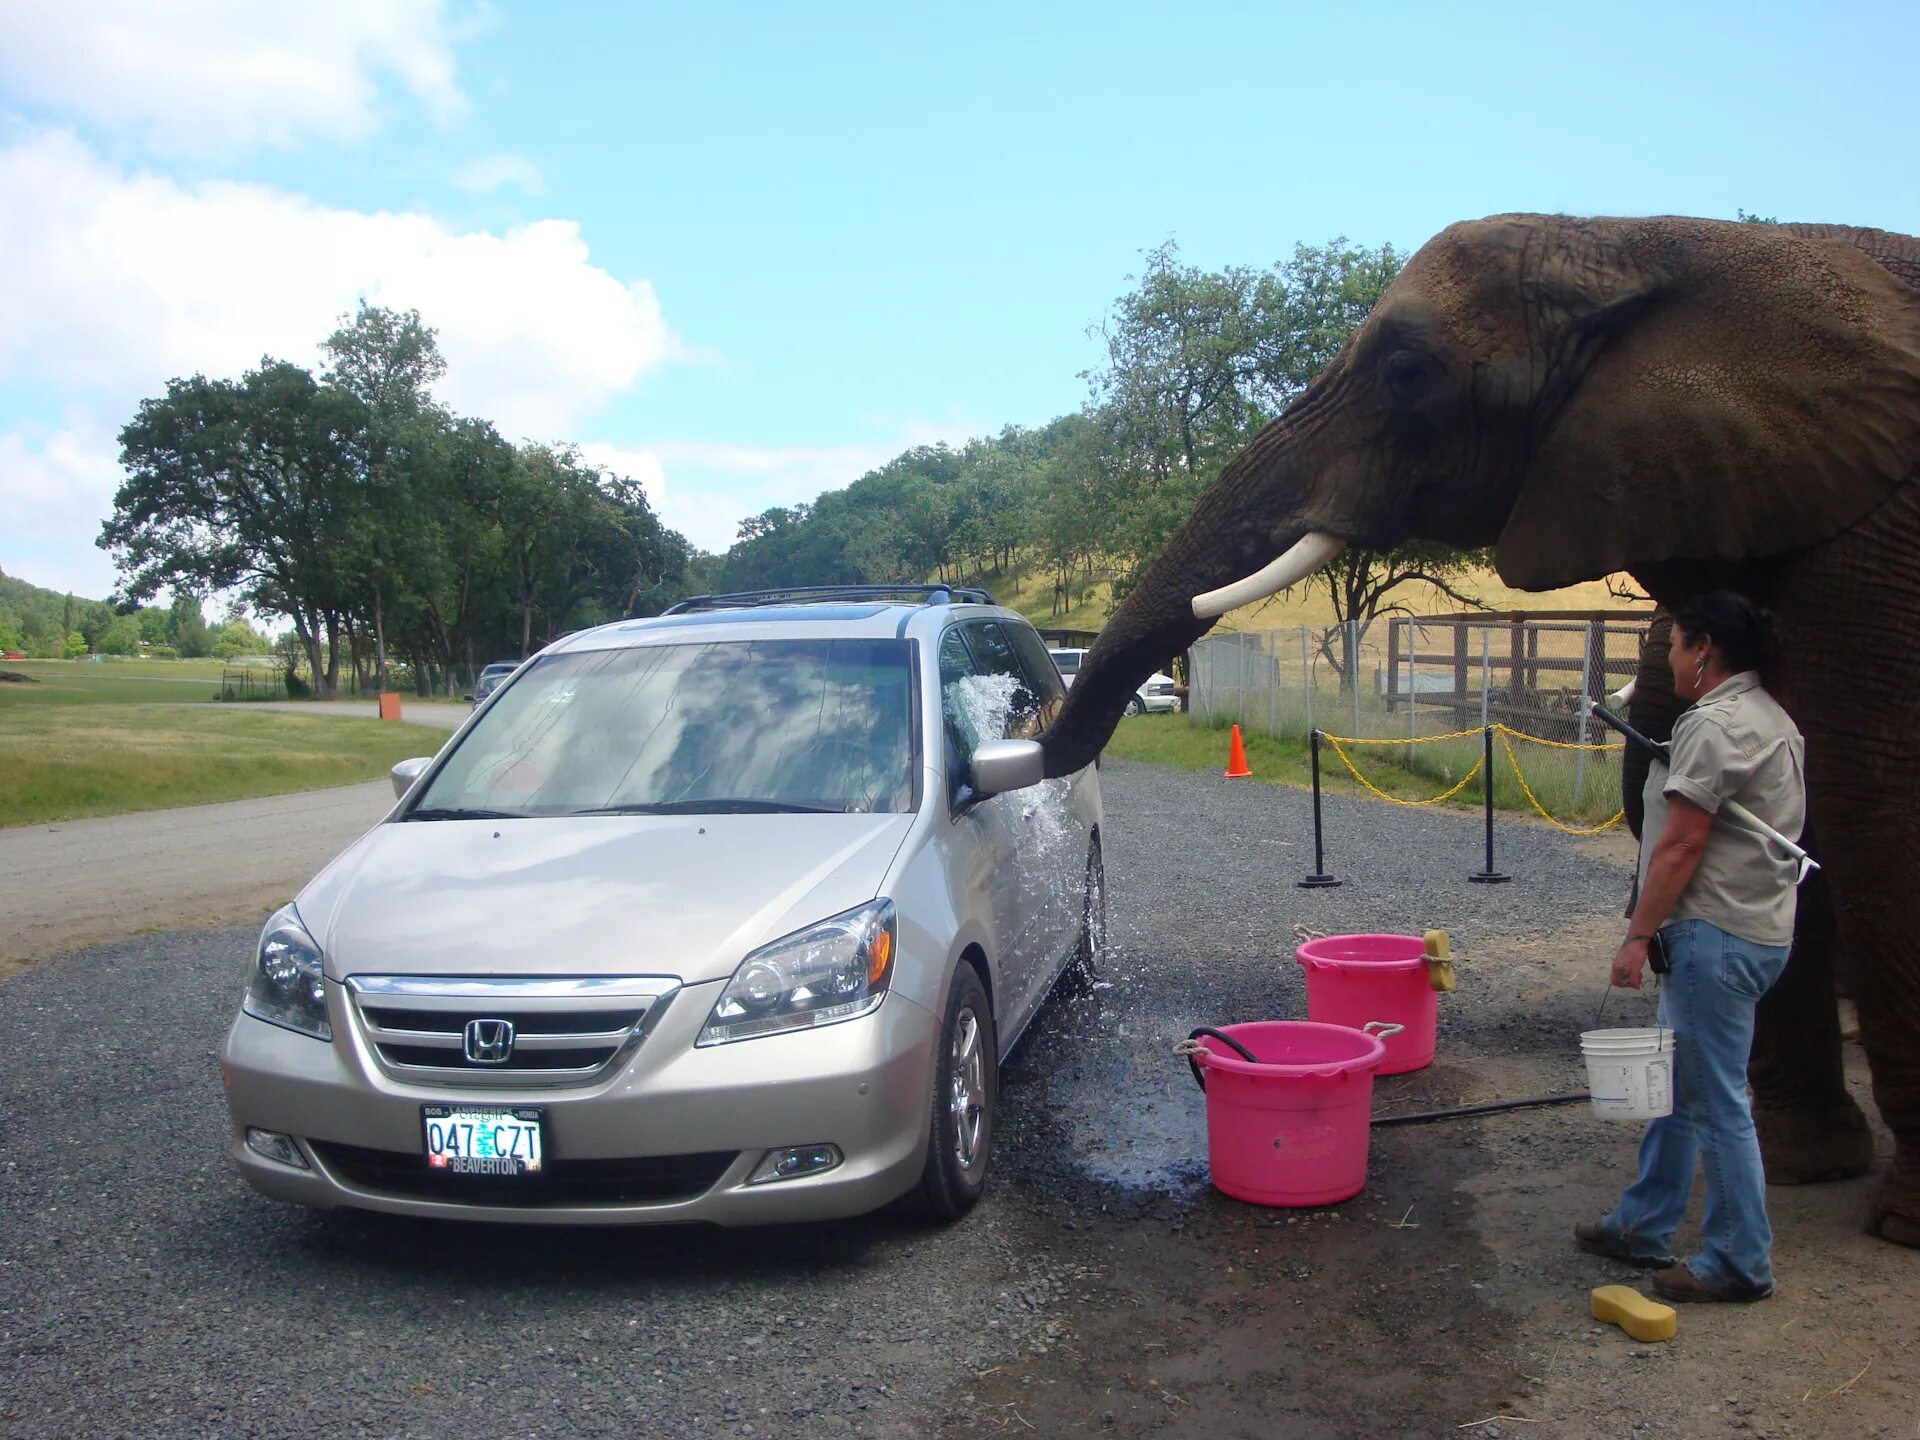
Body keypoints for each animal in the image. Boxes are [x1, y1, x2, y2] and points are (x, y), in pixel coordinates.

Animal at [1044, 214, 1920, 1251]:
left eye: (1406, 371)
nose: (1027, 752)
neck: (1651, 242)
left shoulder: (1880, 535)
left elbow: (1874, 802)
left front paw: (1895, 1219)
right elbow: (1802, 811)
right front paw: (1800, 1165)